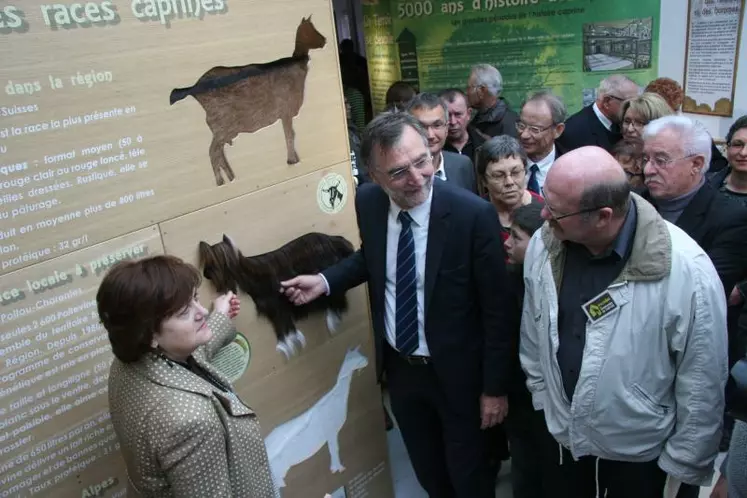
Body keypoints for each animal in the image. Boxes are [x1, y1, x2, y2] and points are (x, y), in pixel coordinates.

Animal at [200, 233, 356, 358]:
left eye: (213, 263)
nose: (204, 274)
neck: (251, 274)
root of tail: (335, 240)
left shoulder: (278, 305)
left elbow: (283, 322)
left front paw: (286, 345)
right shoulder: (274, 308)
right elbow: (283, 324)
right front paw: (290, 342)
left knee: (337, 296)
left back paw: (332, 319)